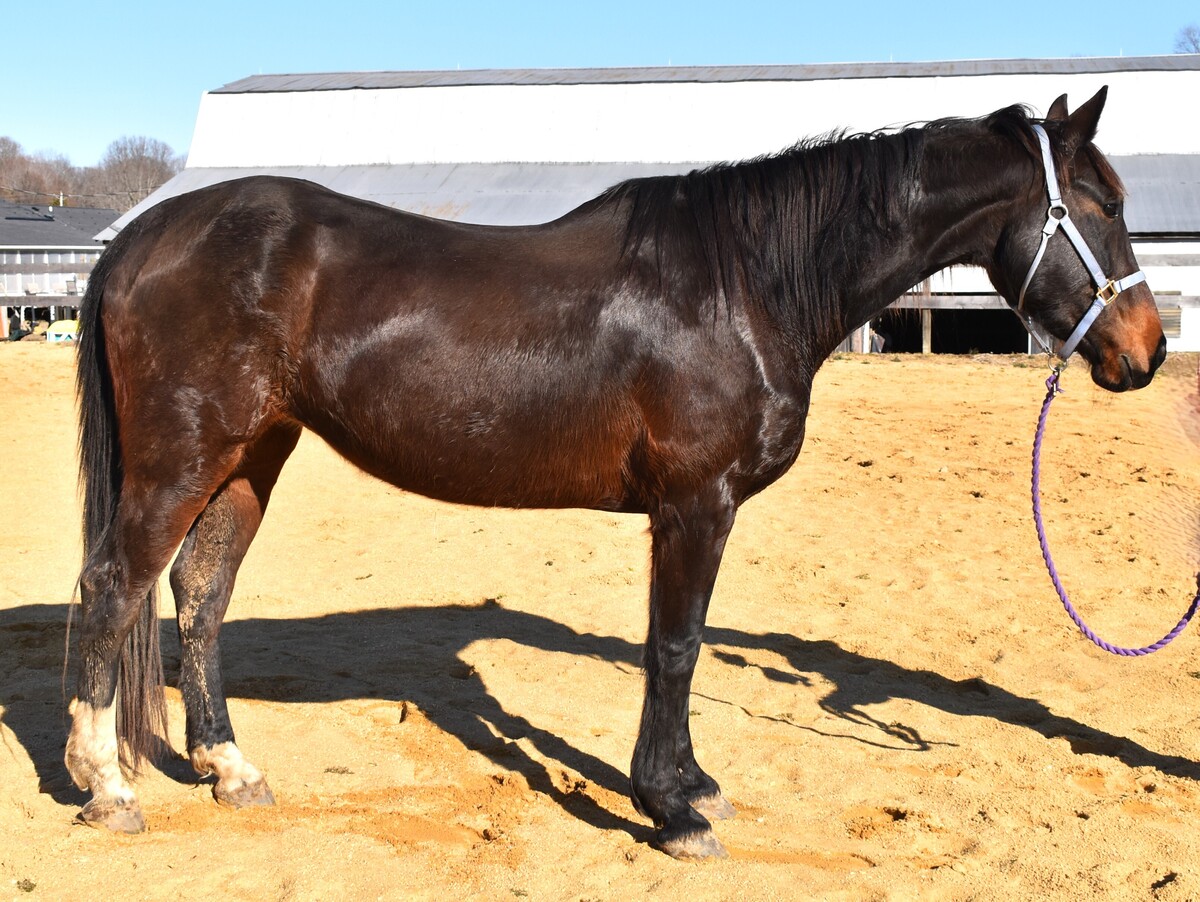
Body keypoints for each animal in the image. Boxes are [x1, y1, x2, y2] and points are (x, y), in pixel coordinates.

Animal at [66, 87, 1165, 860]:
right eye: (1105, 203)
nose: (1148, 351)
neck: (743, 284)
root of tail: (143, 235)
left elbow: (674, 646)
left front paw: (689, 784)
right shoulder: (694, 506)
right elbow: (674, 647)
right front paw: (673, 807)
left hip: (253, 453)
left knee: (201, 593)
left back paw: (230, 769)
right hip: (183, 456)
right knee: (116, 586)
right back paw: (106, 786)